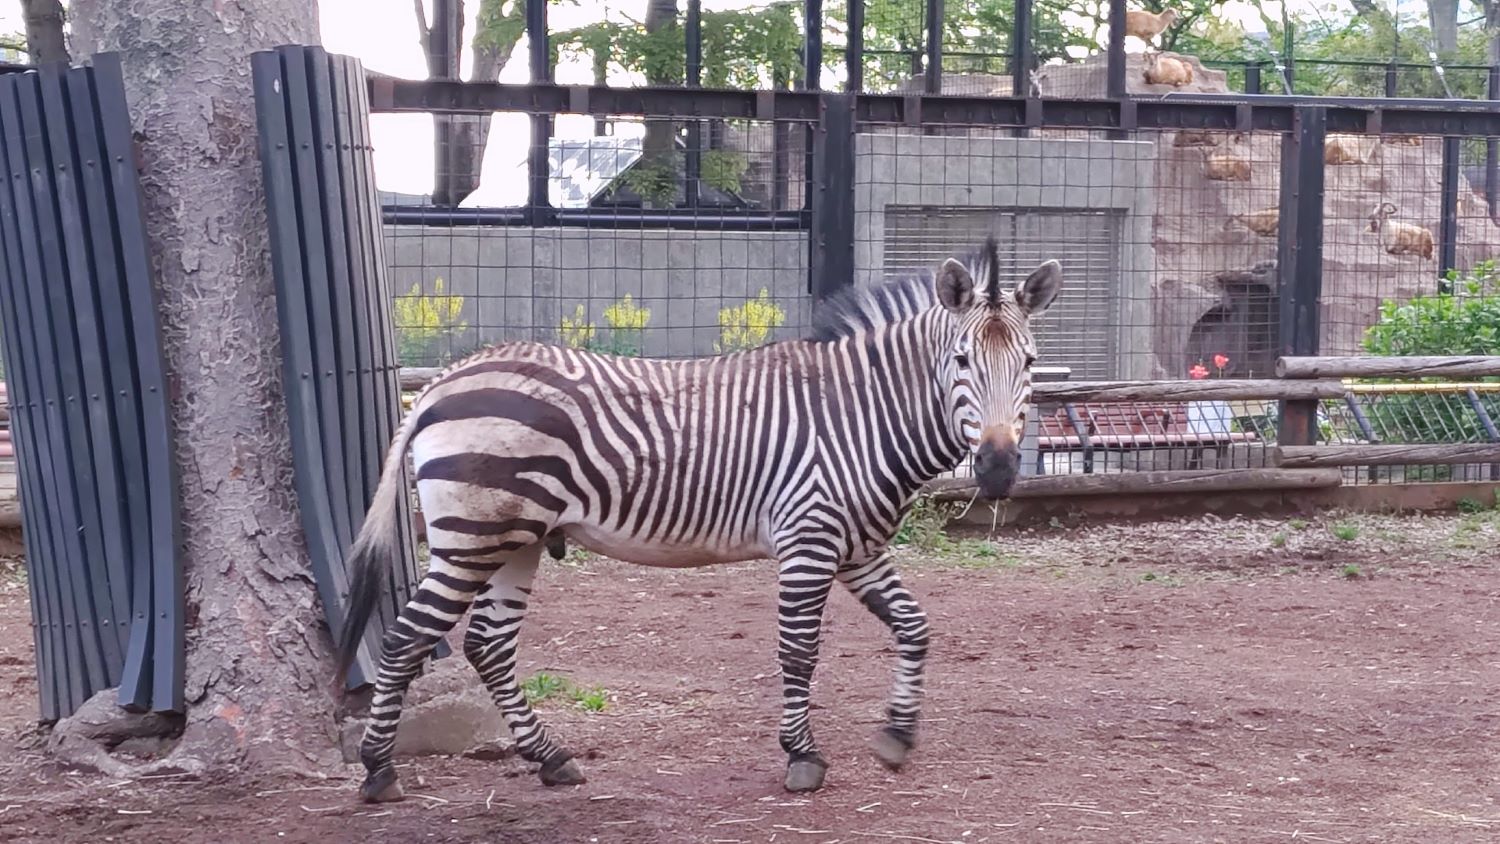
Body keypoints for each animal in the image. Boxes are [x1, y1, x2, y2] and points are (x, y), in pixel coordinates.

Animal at [337, 236, 1068, 797]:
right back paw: (378, 771)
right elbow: (799, 651)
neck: (860, 416)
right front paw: (802, 757)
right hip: (473, 537)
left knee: (488, 644)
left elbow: (915, 627)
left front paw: (896, 736)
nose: (998, 471)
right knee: (405, 638)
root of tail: (444, 379)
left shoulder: (858, 549)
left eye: (1031, 364)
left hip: (516, 540)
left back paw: (552, 759)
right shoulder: (808, 540)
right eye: (962, 361)